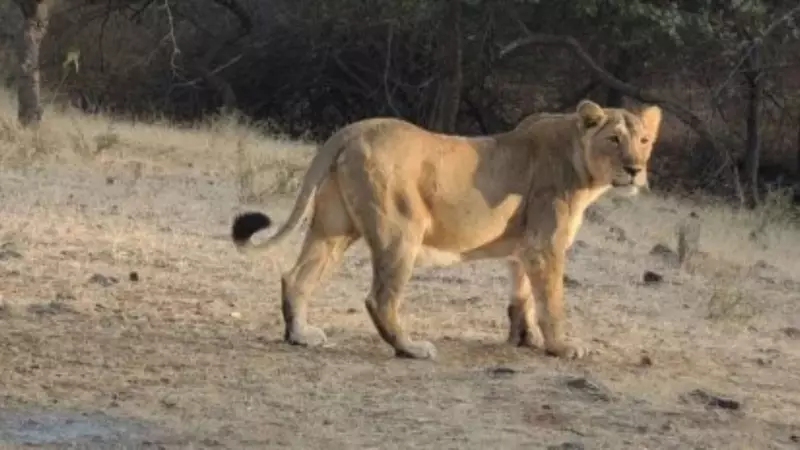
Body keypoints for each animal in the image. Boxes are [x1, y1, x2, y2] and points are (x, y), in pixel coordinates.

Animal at [230, 99, 663, 360]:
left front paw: (524, 339)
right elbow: (551, 301)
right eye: (614, 139)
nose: (635, 169)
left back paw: (301, 335)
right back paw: (411, 348)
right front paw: (561, 346)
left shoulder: (524, 246)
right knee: (379, 298)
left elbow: (522, 295)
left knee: (295, 277)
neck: (582, 164)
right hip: (402, 229)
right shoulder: (546, 243)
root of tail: (354, 129)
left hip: (333, 227)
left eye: (644, 140)